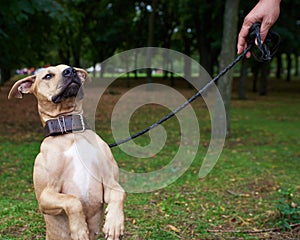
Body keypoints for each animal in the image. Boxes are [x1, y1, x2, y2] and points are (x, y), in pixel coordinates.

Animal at [7, 64, 125, 239]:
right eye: (48, 76)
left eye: (71, 68)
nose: (70, 71)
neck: (69, 132)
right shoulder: (45, 196)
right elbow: (73, 201)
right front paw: (80, 230)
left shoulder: (109, 180)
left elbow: (119, 193)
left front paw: (114, 223)